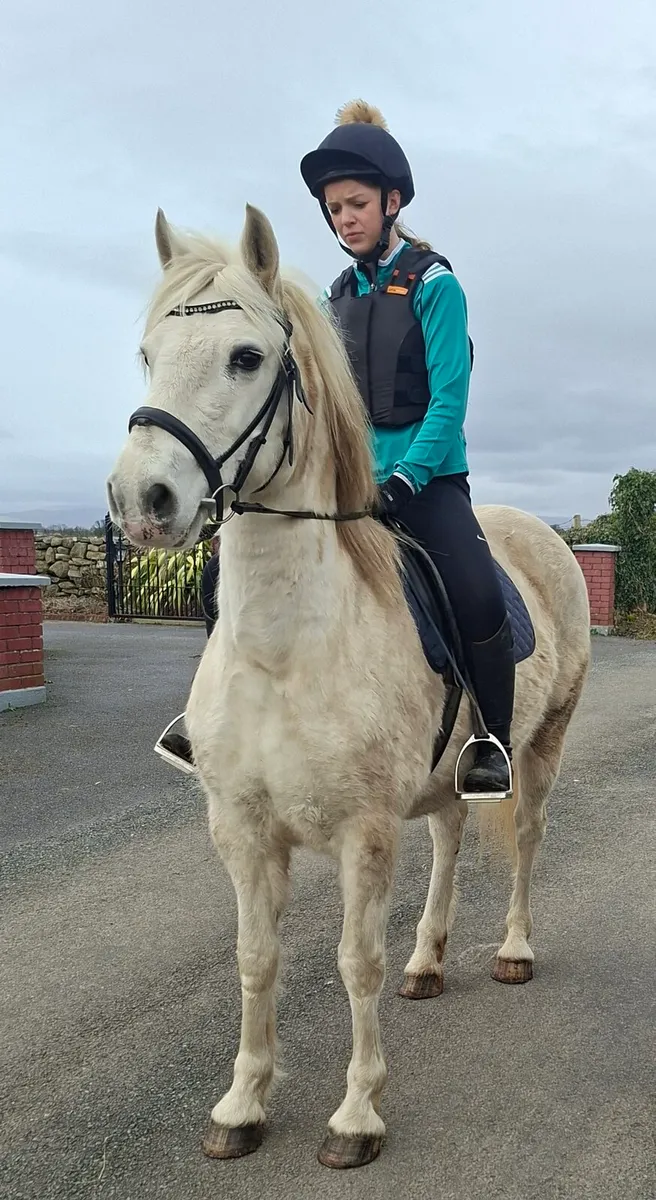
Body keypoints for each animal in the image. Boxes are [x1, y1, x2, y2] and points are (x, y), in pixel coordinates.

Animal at [107, 204, 591, 1169]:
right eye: (147, 353)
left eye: (246, 356)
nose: (142, 500)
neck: (285, 649)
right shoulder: (243, 832)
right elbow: (256, 960)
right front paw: (242, 1104)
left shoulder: (363, 834)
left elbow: (352, 962)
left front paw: (357, 1114)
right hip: (449, 776)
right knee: (448, 841)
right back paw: (429, 961)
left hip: (542, 746)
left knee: (525, 840)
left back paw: (513, 950)